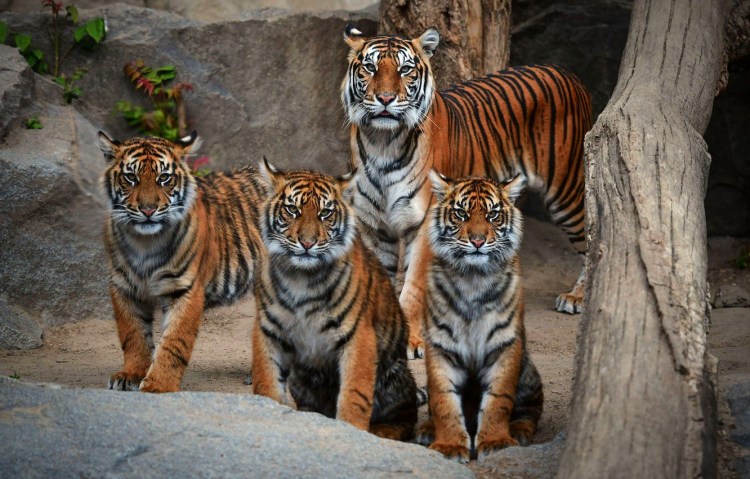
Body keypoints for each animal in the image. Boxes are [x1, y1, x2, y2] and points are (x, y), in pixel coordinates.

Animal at [98, 132, 265, 393]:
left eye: (164, 178)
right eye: (131, 177)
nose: (148, 210)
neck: (145, 242)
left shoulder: (185, 290)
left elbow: (174, 343)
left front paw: (158, 386)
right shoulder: (124, 287)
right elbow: (133, 335)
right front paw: (131, 375)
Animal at [251, 161, 418, 441]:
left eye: (325, 213)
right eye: (292, 210)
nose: (307, 243)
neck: (301, 278)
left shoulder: (358, 336)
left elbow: (354, 395)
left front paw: (351, 431)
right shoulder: (268, 330)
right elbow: (266, 383)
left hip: (394, 376)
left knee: (404, 417)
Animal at [341, 26, 592, 359]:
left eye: (405, 69)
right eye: (370, 67)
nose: (385, 98)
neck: (382, 141)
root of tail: (569, 74)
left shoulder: (424, 222)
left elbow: (413, 286)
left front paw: (410, 340)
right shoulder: (372, 225)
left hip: (566, 191)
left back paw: (577, 297)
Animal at [417, 172, 544, 463]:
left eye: (492, 214)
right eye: (461, 214)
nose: (477, 241)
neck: (472, 279)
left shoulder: (505, 343)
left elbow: (498, 398)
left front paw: (496, 441)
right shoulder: (440, 344)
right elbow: (443, 399)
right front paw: (449, 445)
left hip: (528, 371)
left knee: (532, 409)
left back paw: (519, 431)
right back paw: (426, 429)